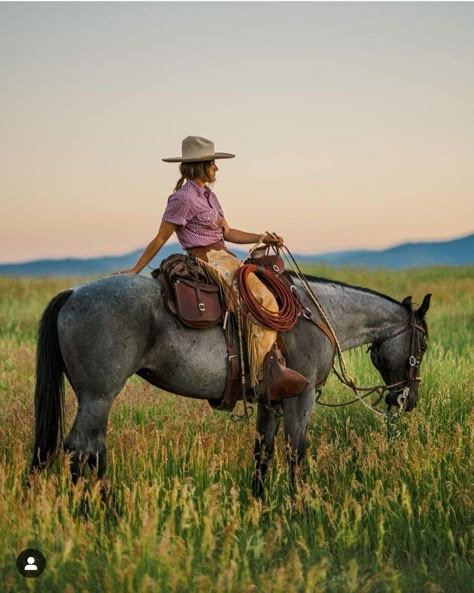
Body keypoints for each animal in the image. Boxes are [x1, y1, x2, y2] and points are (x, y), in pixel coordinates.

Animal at [27, 270, 432, 498]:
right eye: (423, 345)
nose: (408, 400)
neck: (315, 316)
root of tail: (73, 293)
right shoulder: (300, 399)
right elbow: (296, 453)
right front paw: (301, 506)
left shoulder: (271, 402)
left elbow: (263, 453)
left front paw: (258, 506)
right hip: (99, 396)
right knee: (81, 449)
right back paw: (93, 515)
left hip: (94, 399)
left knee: (92, 449)